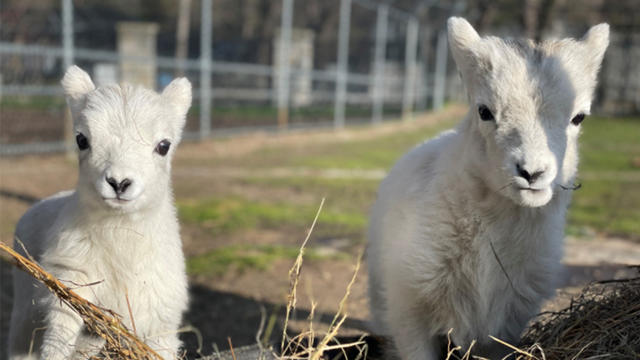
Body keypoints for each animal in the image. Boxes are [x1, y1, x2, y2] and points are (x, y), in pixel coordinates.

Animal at [9, 66, 190, 358]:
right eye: (82, 140)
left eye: (164, 146)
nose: (119, 182)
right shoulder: (70, 282)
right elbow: (57, 341)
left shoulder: (162, 320)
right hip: (24, 314)